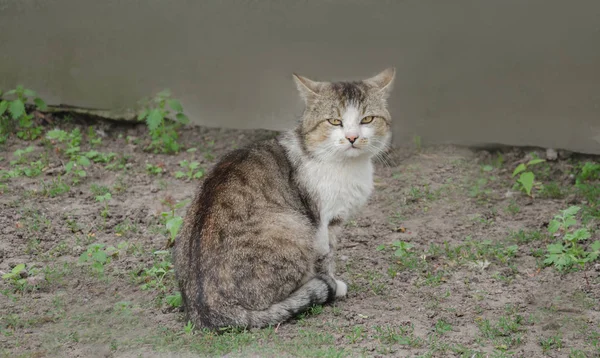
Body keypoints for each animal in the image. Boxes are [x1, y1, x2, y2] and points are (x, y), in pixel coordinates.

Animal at [173, 68, 396, 330]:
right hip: (294, 226)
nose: (352, 137)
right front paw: (333, 284)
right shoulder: (323, 224)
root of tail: (208, 309)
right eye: (334, 121)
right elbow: (326, 259)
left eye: (367, 119)